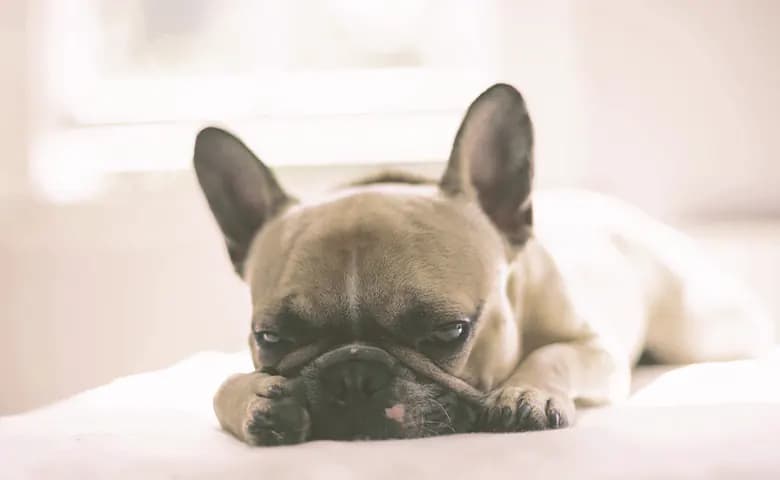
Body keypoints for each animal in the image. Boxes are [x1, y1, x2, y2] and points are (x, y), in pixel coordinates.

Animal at [192, 83, 772, 446]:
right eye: (271, 338)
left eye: (449, 332)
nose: (354, 375)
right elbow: (218, 387)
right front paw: (252, 400)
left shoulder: (596, 350)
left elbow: (553, 354)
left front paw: (526, 391)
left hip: (700, 331)